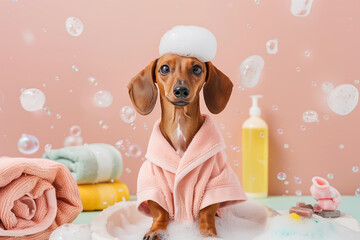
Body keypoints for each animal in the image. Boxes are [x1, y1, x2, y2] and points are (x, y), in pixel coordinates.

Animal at [127, 53, 233, 239]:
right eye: (164, 68)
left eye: (197, 68)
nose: (181, 90)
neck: (180, 125)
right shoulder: (153, 181)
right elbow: (159, 211)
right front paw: (156, 230)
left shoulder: (215, 178)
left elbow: (207, 211)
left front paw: (208, 232)